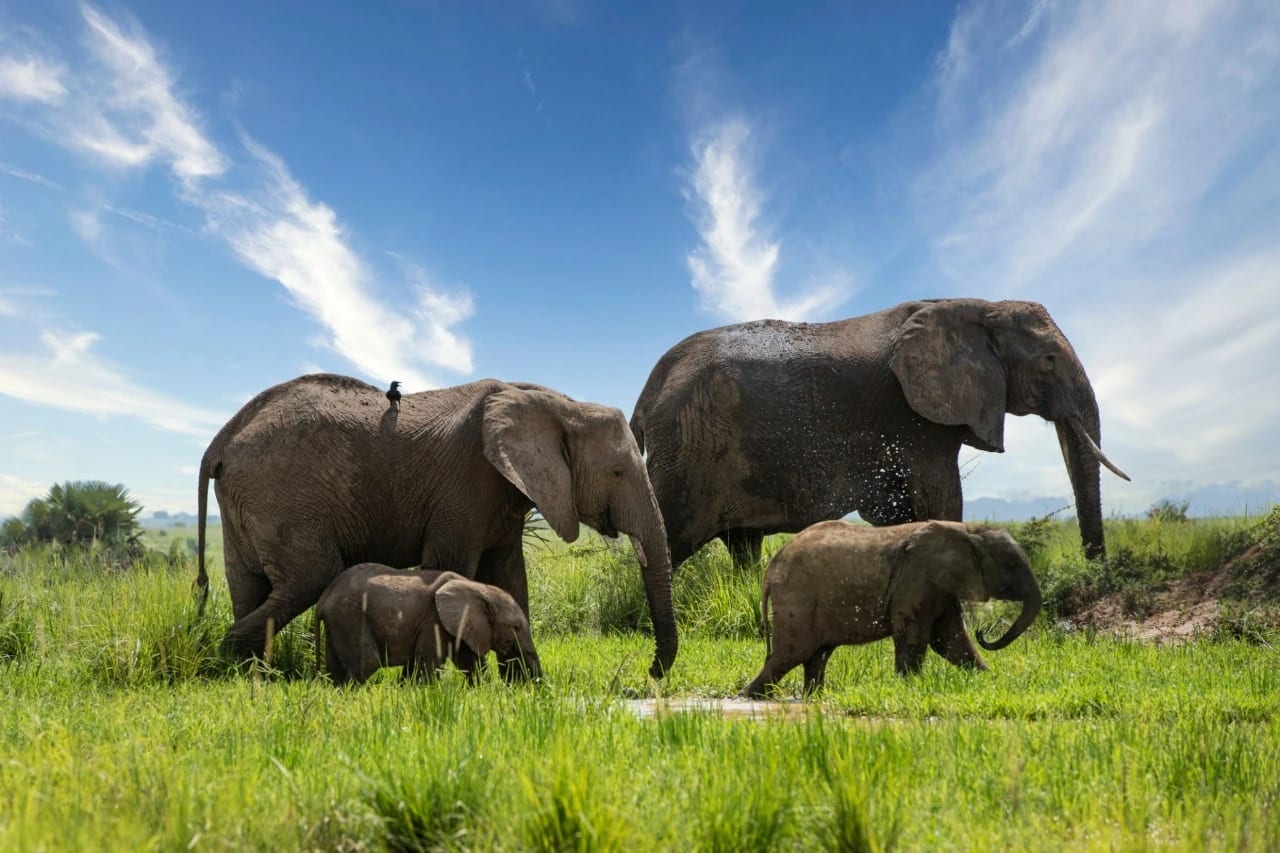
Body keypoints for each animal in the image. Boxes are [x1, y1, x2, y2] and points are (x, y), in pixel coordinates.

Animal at [314, 565, 542, 685]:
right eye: (516, 627)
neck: (479, 588)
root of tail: (324, 598)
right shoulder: (433, 620)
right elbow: (428, 664)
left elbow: (470, 663)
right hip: (349, 616)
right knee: (367, 663)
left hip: (339, 621)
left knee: (335, 667)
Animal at [630, 298, 1128, 568]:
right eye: (1048, 361)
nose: (1094, 572)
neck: (981, 307)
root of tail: (648, 390)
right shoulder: (914, 418)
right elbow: (941, 499)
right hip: (689, 450)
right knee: (670, 540)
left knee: (742, 544)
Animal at [743, 520, 1041, 698]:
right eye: (1010, 565)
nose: (984, 632)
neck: (970, 530)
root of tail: (771, 567)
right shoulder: (917, 578)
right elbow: (916, 636)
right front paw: (909, 689)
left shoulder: (940, 585)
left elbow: (950, 640)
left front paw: (990, 681)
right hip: (797, 596)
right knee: (791, 654)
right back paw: (749, 697)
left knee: (816, 655)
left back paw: (811, 697)